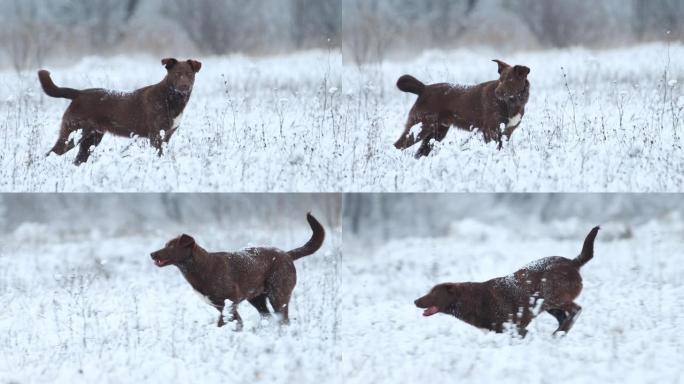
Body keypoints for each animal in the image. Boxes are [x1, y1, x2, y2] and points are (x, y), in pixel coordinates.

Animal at [38, 57, 200, 164]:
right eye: (177, 74)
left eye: (189, 74)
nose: (185, 86)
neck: (170, 98)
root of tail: (79, 93)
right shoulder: (155, 135)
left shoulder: (167, 135)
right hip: (72, 135)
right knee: (50, 153)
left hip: (91, 138)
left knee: (78, 159)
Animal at [150, 213, 326, 330]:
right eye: (165, 245)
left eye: (171, 246)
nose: (152, 254)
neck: (201, 267)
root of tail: (287, 254)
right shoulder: (221, 306)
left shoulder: (230, 301)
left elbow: (229, 322)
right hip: (257, 298)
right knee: (268, 316)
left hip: (278, 295)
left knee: (283, 319)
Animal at [392, 59, 532, 157]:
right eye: (500, 79)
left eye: (510, 79)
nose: (497, 92)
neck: (511, 103)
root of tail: (424, 88)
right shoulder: (491, 130)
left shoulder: (507, 132)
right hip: (420, 128)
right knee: (397, 145)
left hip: (436, 133)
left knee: (420, 152)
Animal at [412, 226, 600, 338]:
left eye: (433, 294)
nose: (415, 301)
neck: (472, 299)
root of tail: (572, 262)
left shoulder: (514, 328)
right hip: (545, 304)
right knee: (563, 317)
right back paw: (558, 334)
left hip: (552, 295)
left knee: (575, 309)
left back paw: (560, 331)